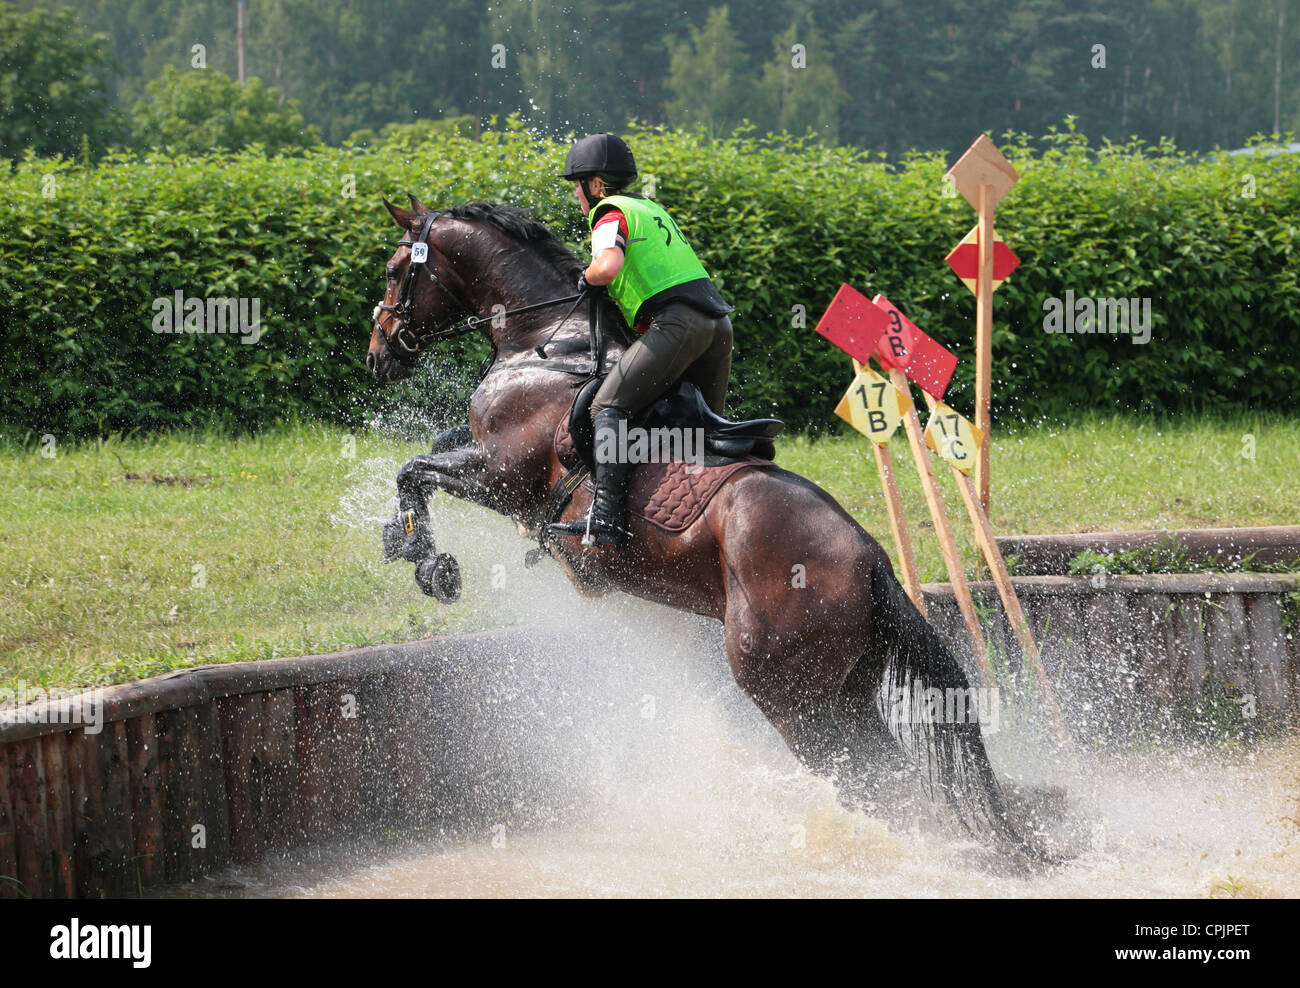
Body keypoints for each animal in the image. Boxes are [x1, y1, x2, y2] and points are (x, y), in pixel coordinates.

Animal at [366, 195, 1044, 860]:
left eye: (397, 270)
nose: (379, 354)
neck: (545, 343)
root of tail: (873, 562)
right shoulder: (485, 462)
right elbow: (431, 451)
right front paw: (409, 543)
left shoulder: (501, 477)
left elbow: (414, 470)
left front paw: (426, 560)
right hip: (847, 688)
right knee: (884, 774)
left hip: (787, 693)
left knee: (860, 778)